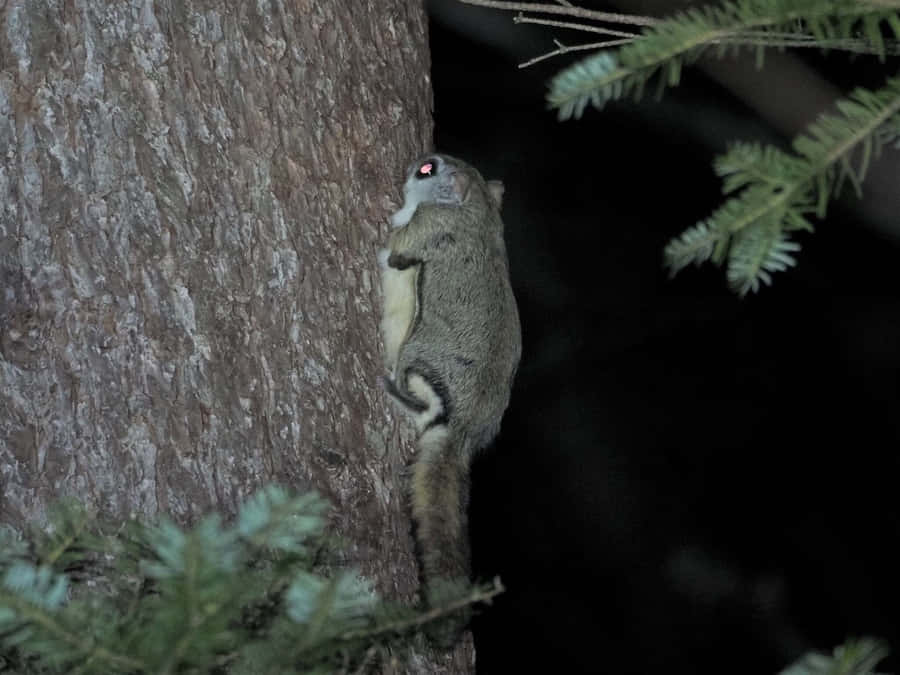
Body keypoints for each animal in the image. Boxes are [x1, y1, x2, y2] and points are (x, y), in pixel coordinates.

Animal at [378, 154, 521, 622]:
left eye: (428, 168)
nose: (411, 162)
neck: (476, 212)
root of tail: (462, 430)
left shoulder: (424, 228)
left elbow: (392, 247)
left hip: (418, 362)